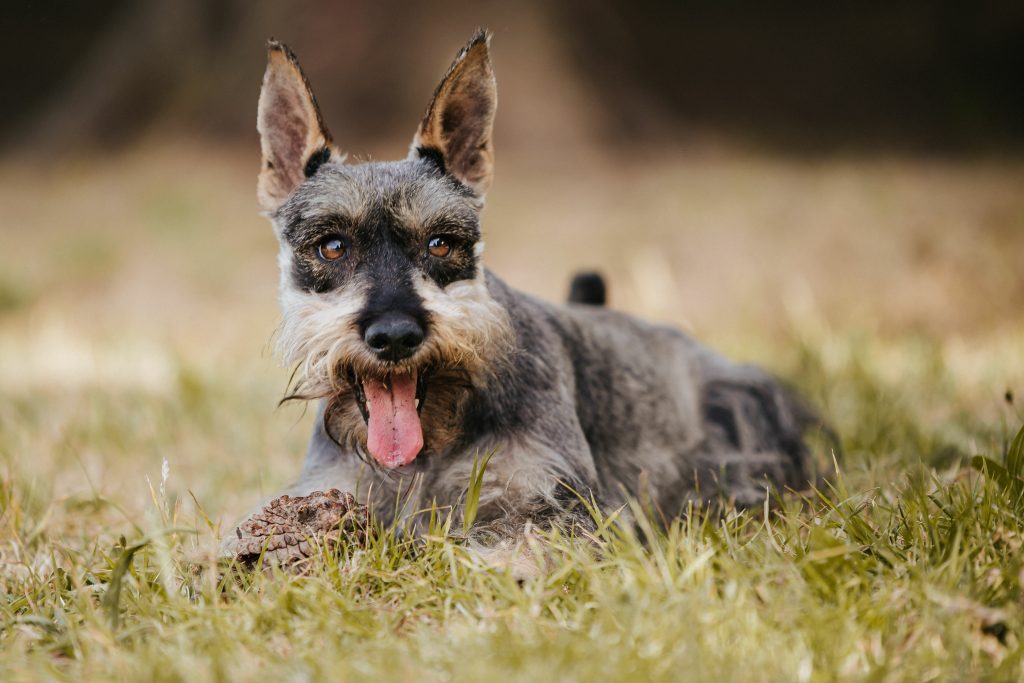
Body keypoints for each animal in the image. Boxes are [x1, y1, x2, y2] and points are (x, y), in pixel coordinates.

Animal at [224, 29, 831, 569]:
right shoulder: (333, 486)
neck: (431, 447)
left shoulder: (552, 501)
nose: (394, 335)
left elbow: (511, 548)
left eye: (441, 242)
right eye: (331, 246)